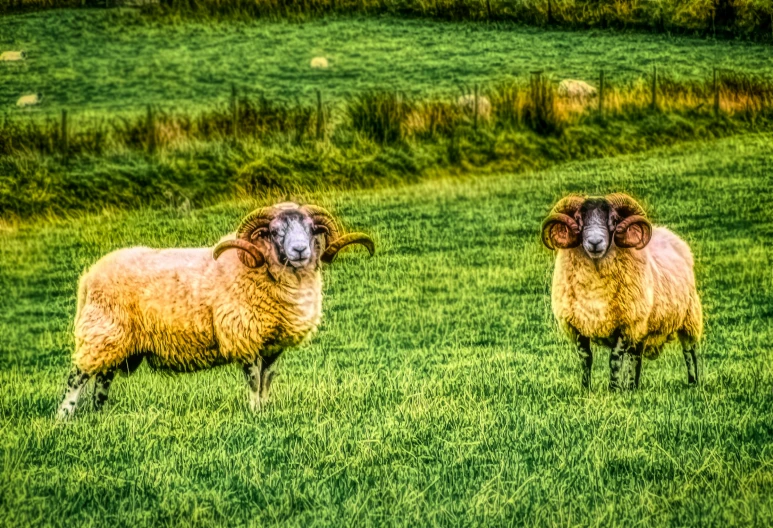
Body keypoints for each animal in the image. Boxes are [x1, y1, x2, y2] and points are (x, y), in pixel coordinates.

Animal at [55, 203, 374, 420]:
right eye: (274, 231)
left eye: (311, 229)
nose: (299, 251)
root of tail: (89, 275)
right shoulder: (245, 337)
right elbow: (254, 380)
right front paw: (255, 413)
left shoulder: (272, 345)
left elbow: (267, 380)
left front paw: (266, 409)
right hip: (101, 331)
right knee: (77, 377)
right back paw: (64, 416)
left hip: (115, 340)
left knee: (102, 378)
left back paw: (99, 414)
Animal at [544, 194, 700, 392]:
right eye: (578, 219)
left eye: (614, 220)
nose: (595, 242)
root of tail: (669, 234)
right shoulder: (579, 325)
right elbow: (586, 359)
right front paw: (586, 388)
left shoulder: (625, 324)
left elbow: (615, 360)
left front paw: (613, 389)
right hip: (643, 325)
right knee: (636, 356)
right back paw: (633, 386)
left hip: (689, 317)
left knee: (689, 352)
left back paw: (693, 382)